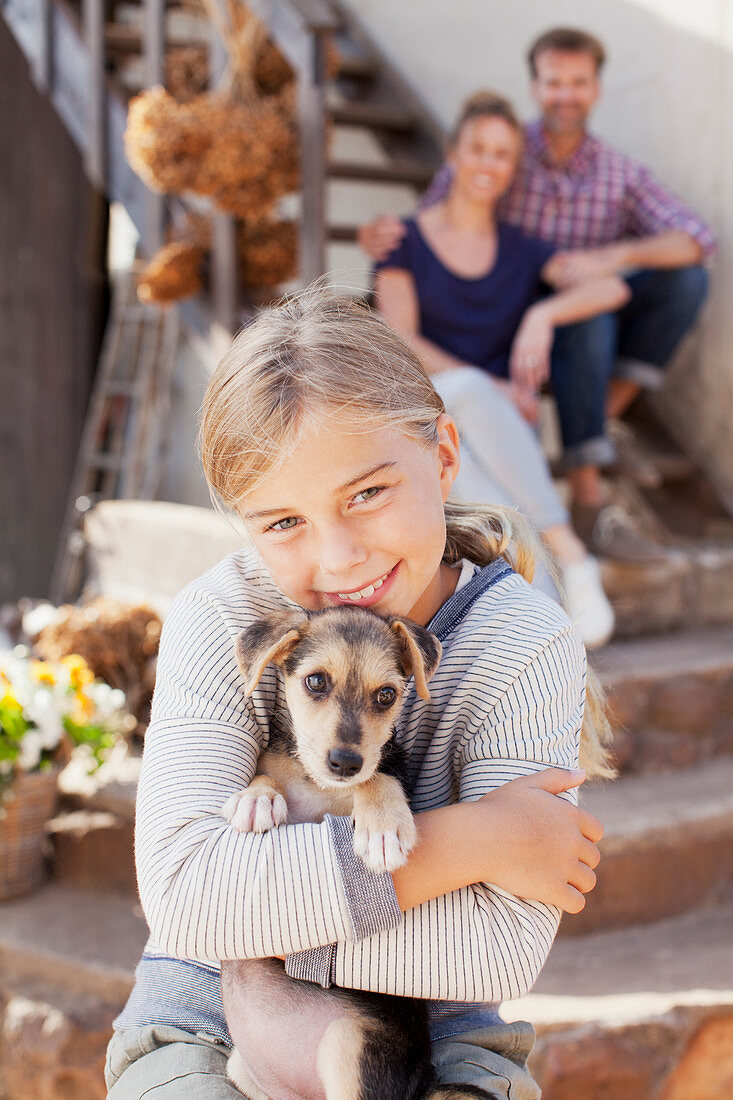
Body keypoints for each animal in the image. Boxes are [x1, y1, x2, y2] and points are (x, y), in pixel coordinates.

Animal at [216, 607, 488, 1100]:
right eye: (316, 682)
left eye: (386, 695)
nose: (344, 762)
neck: (318, 785)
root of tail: (423, 1084)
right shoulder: (282, 764)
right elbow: (266, 773)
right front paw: (257, 798)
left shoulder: (381, 769)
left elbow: (379, 775)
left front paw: (382, 826)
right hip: (243, 1068)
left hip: (350, 1045)